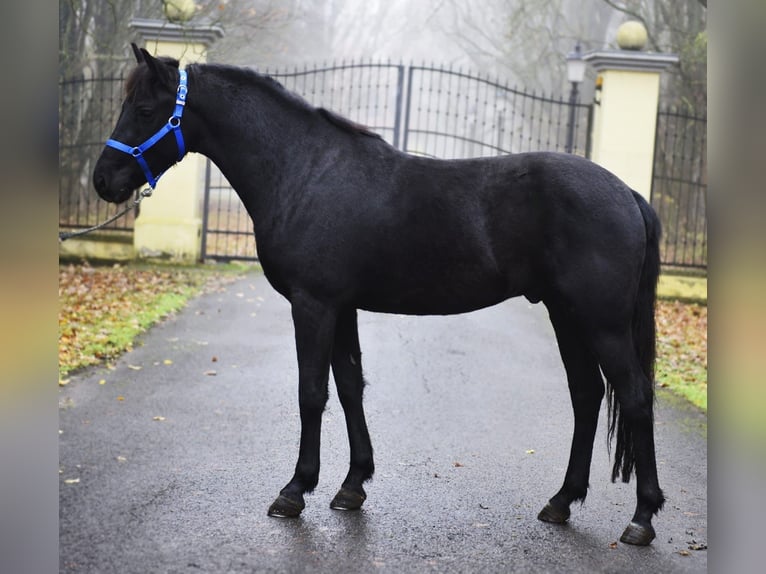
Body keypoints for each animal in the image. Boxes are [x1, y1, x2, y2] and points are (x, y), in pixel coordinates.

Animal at [93, 44, 665, 546]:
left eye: (145, 109)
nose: (103, 180)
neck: (306, 171)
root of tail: (628, 194)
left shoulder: (314, 305)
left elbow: (311, 393)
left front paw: (295, 491)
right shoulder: (341, 307)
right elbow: (350, 387)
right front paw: (351, 487)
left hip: (602, 322)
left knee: (634, 396)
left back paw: (641, 518)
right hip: (566, 315)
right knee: (587, 395)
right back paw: (562, 501)